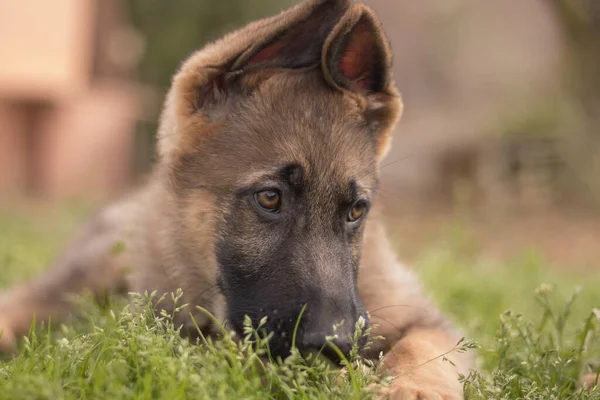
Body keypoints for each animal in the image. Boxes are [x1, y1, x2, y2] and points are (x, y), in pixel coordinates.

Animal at [2, 0, 476, 396]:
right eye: (269, 198)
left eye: (357, 211)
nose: (336, 343)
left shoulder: (425, 319)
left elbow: (423, 350)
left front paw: (409, 386)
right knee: (30, 298)